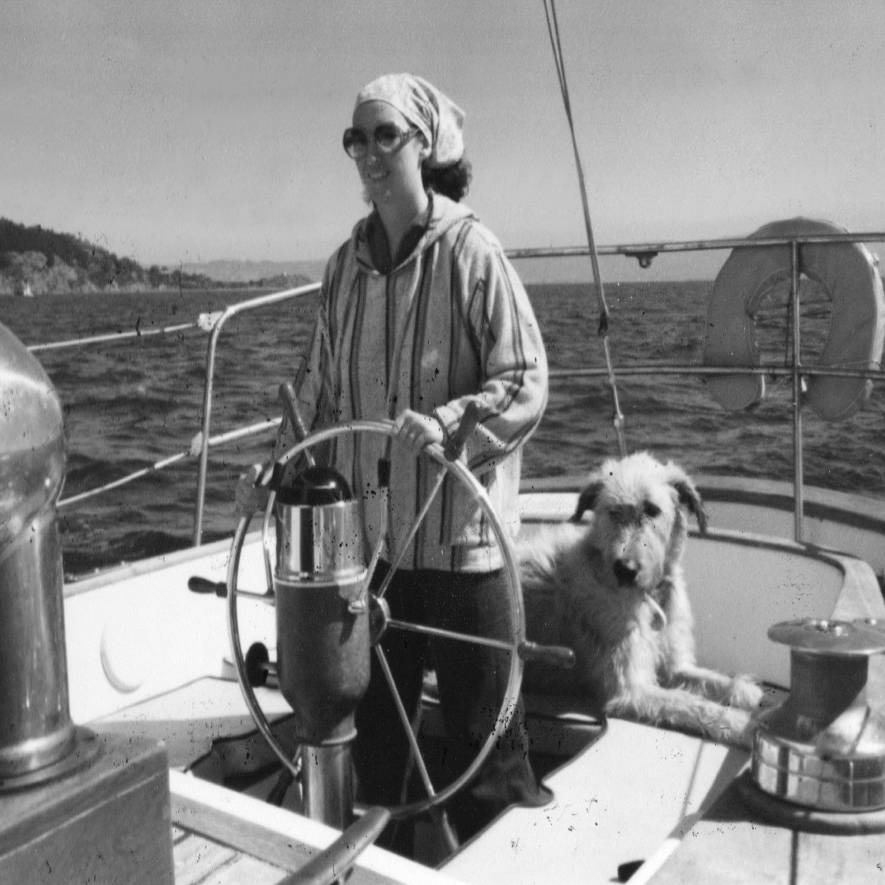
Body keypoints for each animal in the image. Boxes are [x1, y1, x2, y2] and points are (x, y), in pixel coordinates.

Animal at [520, 452, 764, 748]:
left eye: (652, 510)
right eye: (612, 511)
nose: (626, 569)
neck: (649, 596)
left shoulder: (673, 665)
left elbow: (711, 679)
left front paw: (748, 693)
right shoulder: (632, 690)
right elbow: (692, 704)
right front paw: (744, 725)